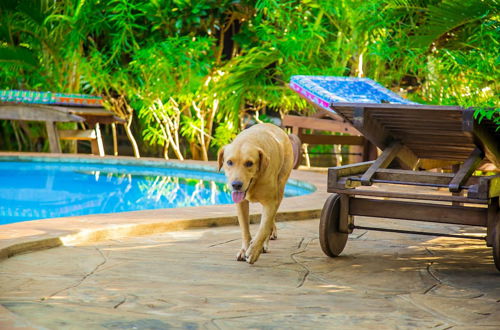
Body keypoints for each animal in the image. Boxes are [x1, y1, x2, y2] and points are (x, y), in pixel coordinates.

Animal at [218, 122, 294, 264]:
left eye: (249, 163)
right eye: (229, 162)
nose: (236, 185)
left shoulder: (270, 202)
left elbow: (263, 228)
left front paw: (254, 251)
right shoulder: (241, 203)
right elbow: (244, 229)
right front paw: (244, 249)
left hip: (280, 188)